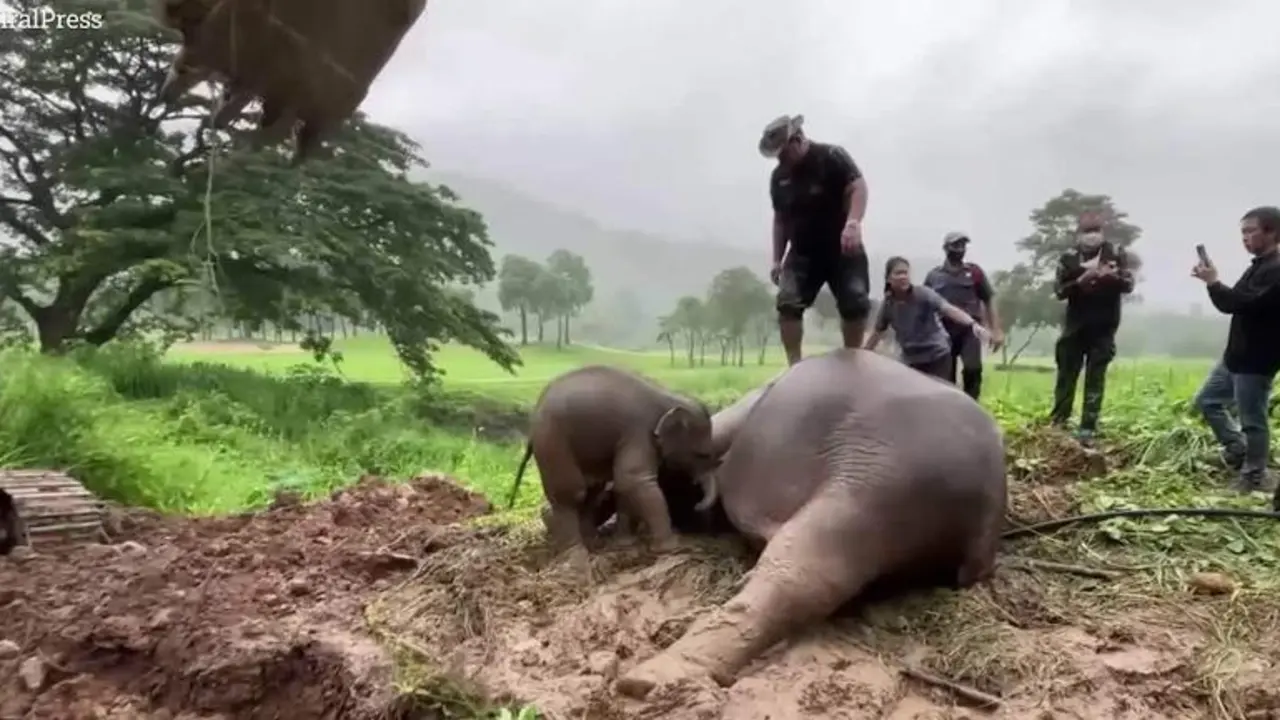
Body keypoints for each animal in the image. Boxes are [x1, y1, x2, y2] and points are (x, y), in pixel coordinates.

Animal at [509, 365, 721, 567]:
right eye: (702, 455)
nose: (697, 505)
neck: (669, 396)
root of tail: (532, 424)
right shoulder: (639, 432)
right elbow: (634, 480)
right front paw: (672, 546)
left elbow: (623, 484)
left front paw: (624, 543)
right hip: (553, 441)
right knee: (572, 493)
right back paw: (575, 551)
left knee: (592, 490)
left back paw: (593, 542)